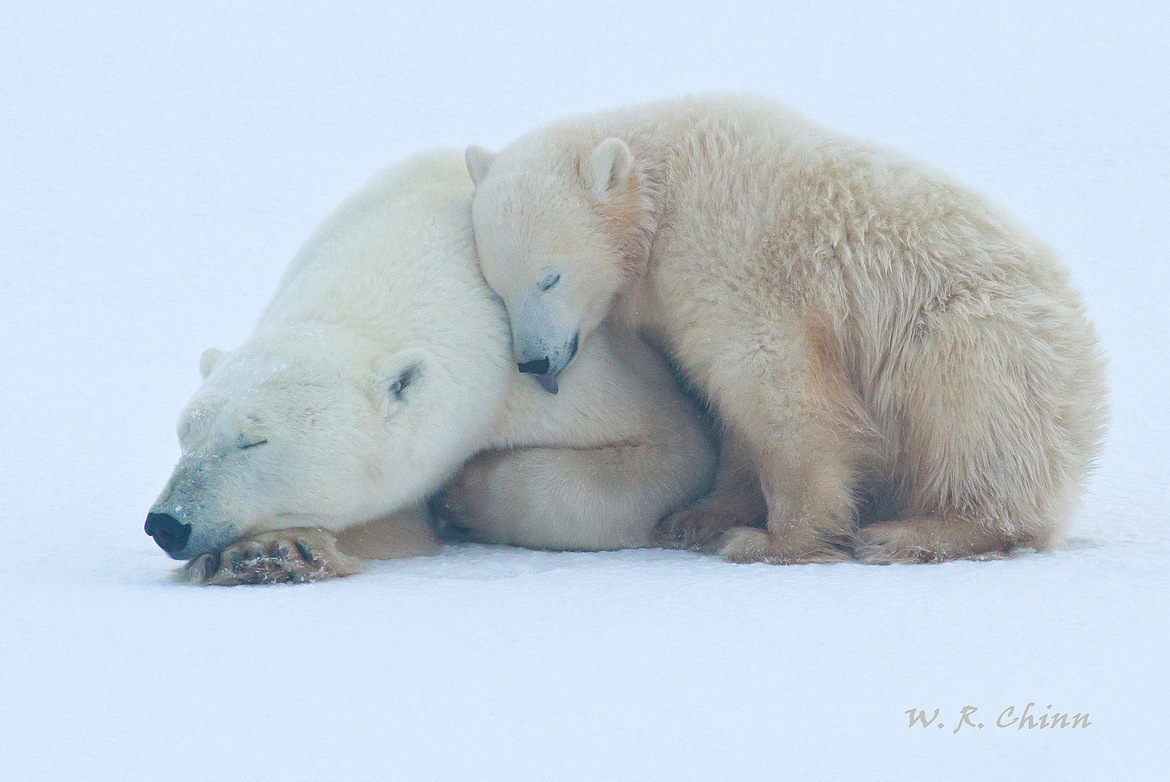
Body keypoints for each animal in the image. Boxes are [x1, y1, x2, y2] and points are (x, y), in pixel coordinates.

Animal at [145, 150, 717, 585]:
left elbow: (673, 447)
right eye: (184, 435)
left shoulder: (548, 369)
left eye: (253, 440)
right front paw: (266, 552)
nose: (167, 522)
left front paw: (466, 495)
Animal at [464, 93, 1109, 565]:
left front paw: (774, 540)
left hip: (991, 334)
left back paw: (913, 532)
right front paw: (700, 516)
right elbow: (733, 410)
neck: (662, 188)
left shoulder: (730, 253)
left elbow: (780, 392)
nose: (534, 362)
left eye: (550, 277)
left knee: (970, 406)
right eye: (497, 286)